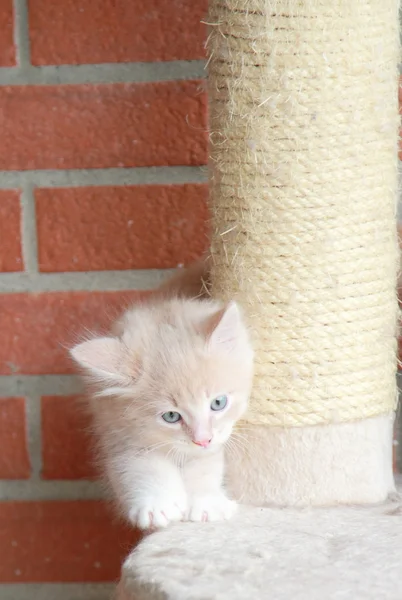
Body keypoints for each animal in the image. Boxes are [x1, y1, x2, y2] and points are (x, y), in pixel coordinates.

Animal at [68, 268, 251, 528]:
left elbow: (206, 465)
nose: (202, 439)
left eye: (218, 403)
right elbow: (140, 466)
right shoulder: (115, 431)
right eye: (171, 416)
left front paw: (206, 503)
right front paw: (157, 504)